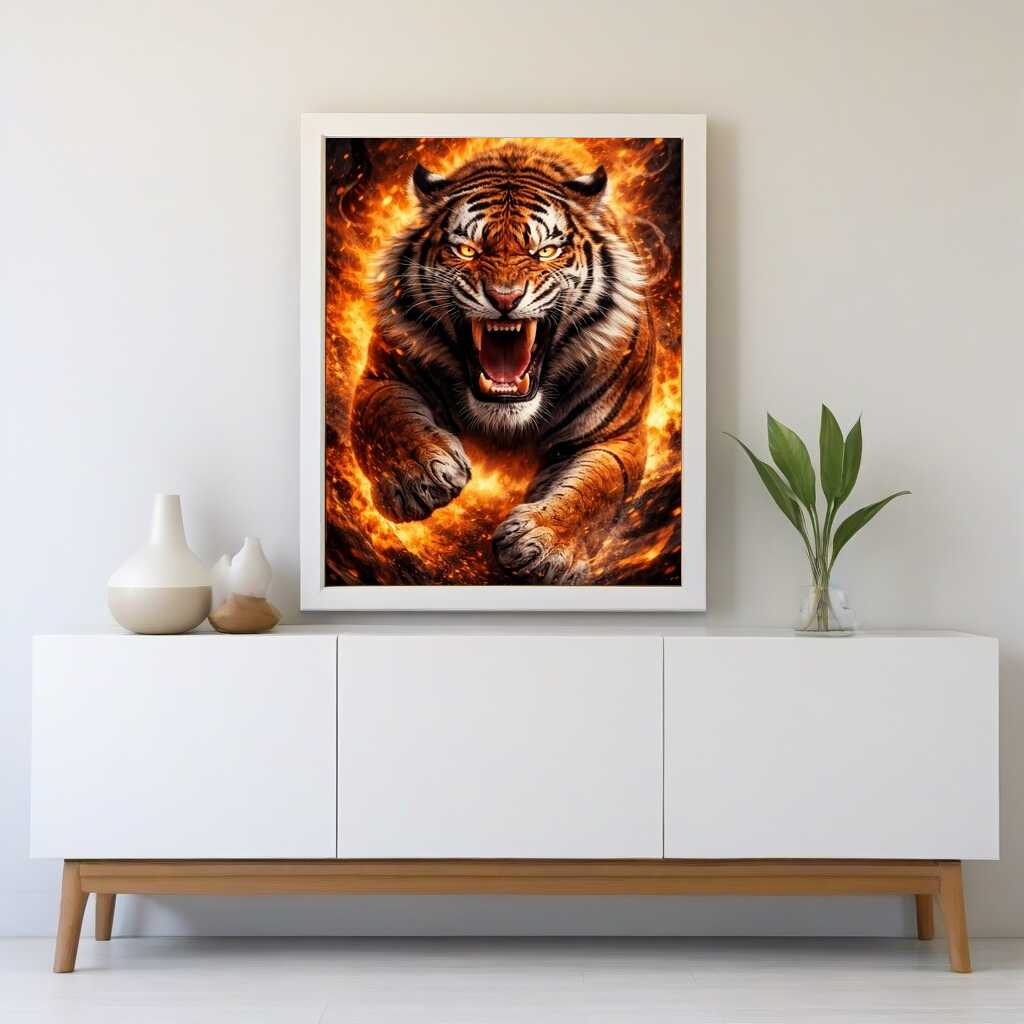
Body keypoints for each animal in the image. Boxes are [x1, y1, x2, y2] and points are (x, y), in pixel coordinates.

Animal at [350, 143, 654, 584]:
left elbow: (598, 487)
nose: (505, 297)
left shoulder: (617, 435)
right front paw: (420, 477)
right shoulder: (382, 377)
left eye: (545, 251)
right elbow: (385, 417)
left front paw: (542, 546)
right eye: (466, 250)